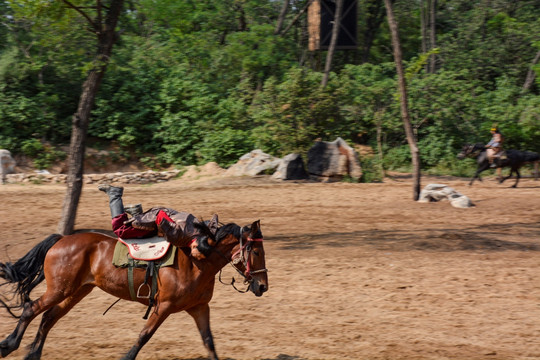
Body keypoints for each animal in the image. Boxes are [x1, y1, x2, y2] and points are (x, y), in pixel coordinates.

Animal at [0, 219, 268, 360]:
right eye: (256, 251)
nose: (263, 286)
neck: (197, 261)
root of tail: (61, 239)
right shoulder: (163, 306)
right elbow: (143, 336)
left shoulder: (200, 308)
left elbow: (209, 342)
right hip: (59, 289)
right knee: (30, 309)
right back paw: (9, 345)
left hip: (76, 291)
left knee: (48, 317)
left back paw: (33, 354)